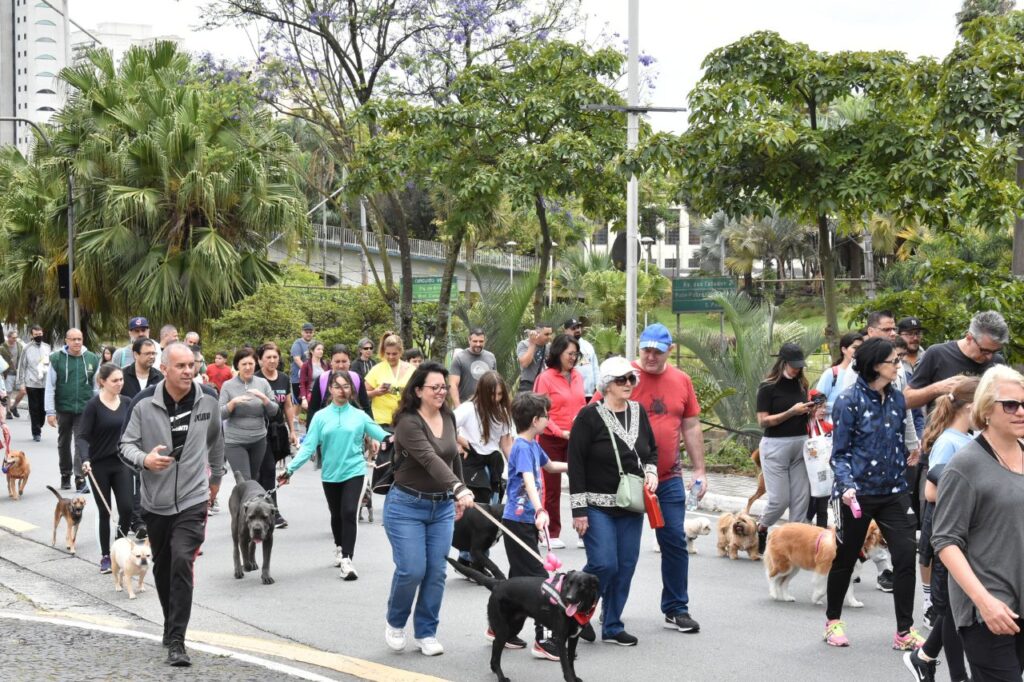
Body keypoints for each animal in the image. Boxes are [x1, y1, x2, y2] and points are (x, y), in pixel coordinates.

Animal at [456, 561, 598, 679]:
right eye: (569, 584)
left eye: (582, 586)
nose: (569, 598)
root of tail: (498, 583)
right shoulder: (560, 638)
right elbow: (565, 664)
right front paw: (570, 679)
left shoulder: (574, 637)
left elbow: (570, 661)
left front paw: (575, 677)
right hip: (503, 628)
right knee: (496, 647)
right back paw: (501, 677)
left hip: (514, 626)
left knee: (496, 645)